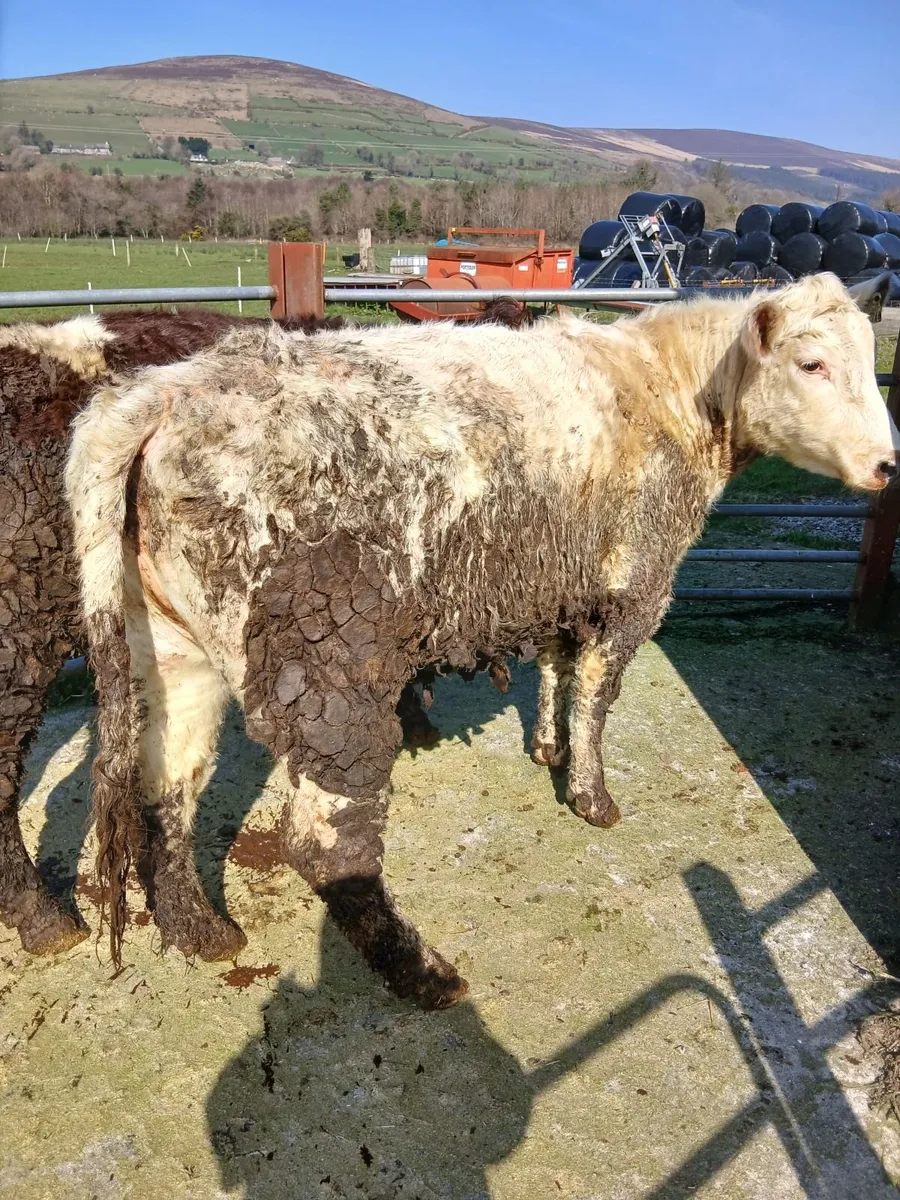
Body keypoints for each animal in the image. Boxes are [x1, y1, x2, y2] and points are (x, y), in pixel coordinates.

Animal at [65, 272, 898, 1008]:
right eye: (812, 363)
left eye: (868, 357)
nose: (888, 464)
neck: (664, 389)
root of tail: (163, 392)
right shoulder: (635, 589)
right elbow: (597, 697)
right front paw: (592, 795)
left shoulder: (566, 587)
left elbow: (560, 673)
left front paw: (548, 750)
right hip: (331, 665)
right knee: (323, 845)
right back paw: (420, 973)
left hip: (169, 648)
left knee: (166, 786)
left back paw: (199, 930)